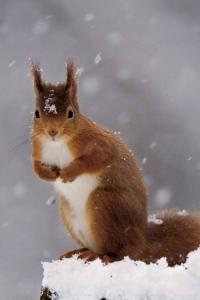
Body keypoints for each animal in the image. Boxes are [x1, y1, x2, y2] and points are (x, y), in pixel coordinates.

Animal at [30, 59, 200, 266]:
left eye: (70, 113)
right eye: (36, 113)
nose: (52, 132)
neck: (57, 144)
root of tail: (142, 241)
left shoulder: (98, 144)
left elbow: (98, 158)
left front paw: (70, 172)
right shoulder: (38, 149)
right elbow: (36, 167)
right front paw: (48, 174)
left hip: (104, 203)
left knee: (119, 252)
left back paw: (98, 255)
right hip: (67, 210)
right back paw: (78, 251)